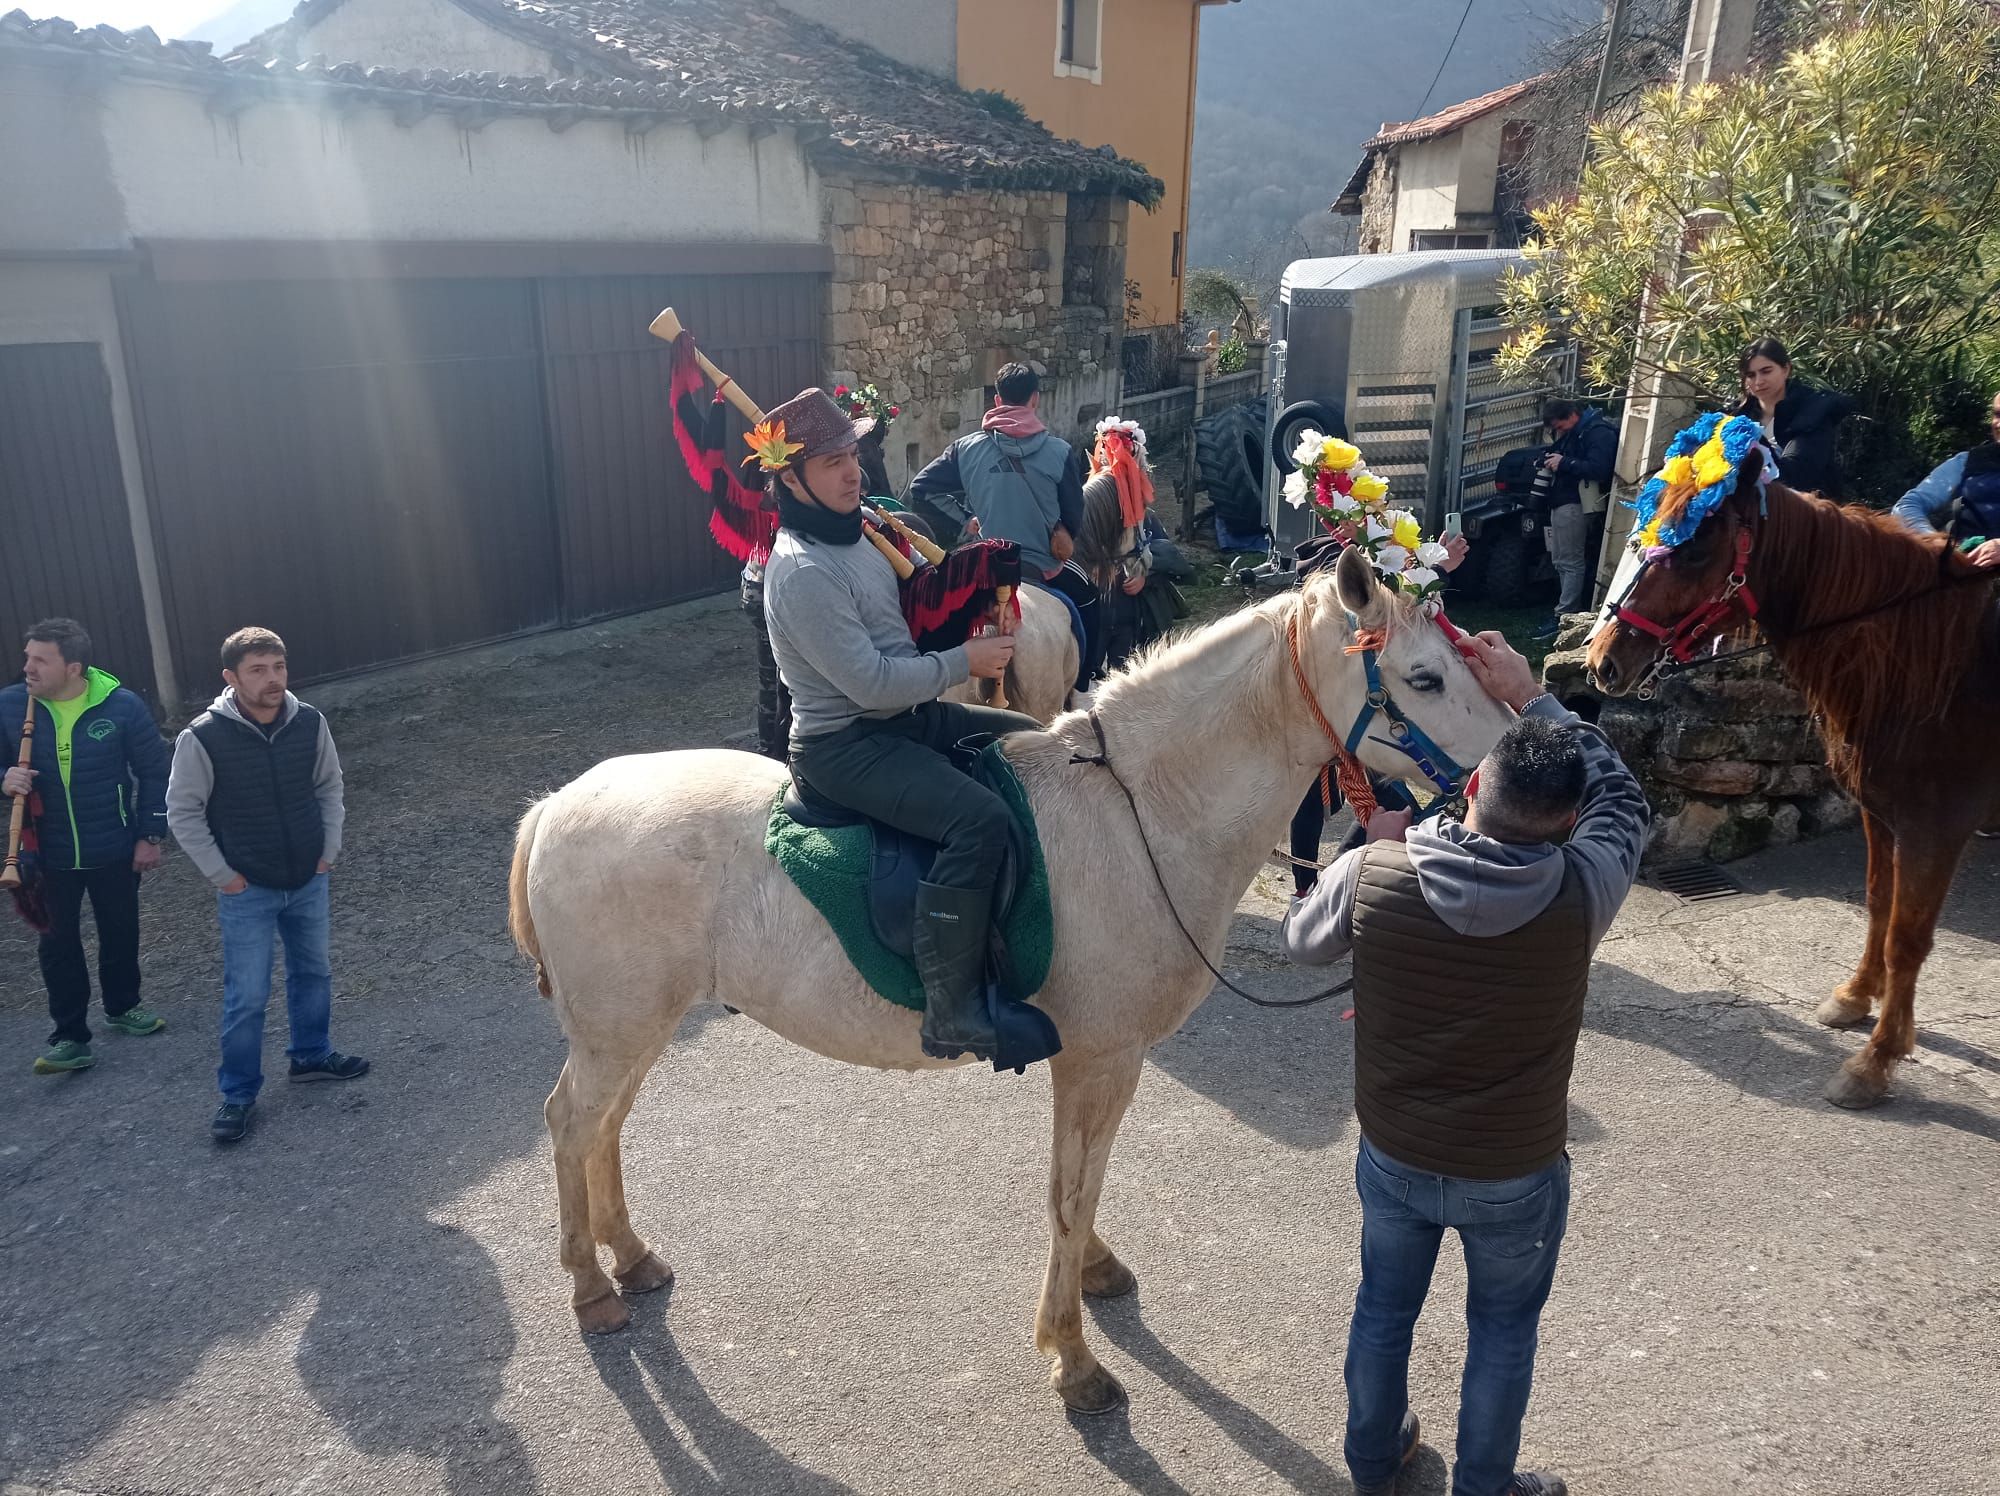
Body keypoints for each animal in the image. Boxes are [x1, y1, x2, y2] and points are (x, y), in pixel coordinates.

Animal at [508, 545, 1514, 1412]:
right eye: (1424, 678)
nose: (1515, 759)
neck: (1140, 814)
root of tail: (557, 804)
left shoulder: (1103, 1063)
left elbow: (1086, 1182)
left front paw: (1094, 1278)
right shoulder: (1100, 1059)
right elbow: (1070, 1193)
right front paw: (1073, 1358)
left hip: (635, 1029)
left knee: (604, 1127)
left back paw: (630, 1256)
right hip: (619, 1032)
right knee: (570, 1124)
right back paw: (592, 1286)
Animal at [1586, 451, 2000, 1108]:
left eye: (1695, 549)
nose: (1603, 660)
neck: (1939, 668)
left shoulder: (1936, 827)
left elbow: (1907, 938)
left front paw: (1876, 1060)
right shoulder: (1881, 813)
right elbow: (1880, 904)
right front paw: (1857, 1000)